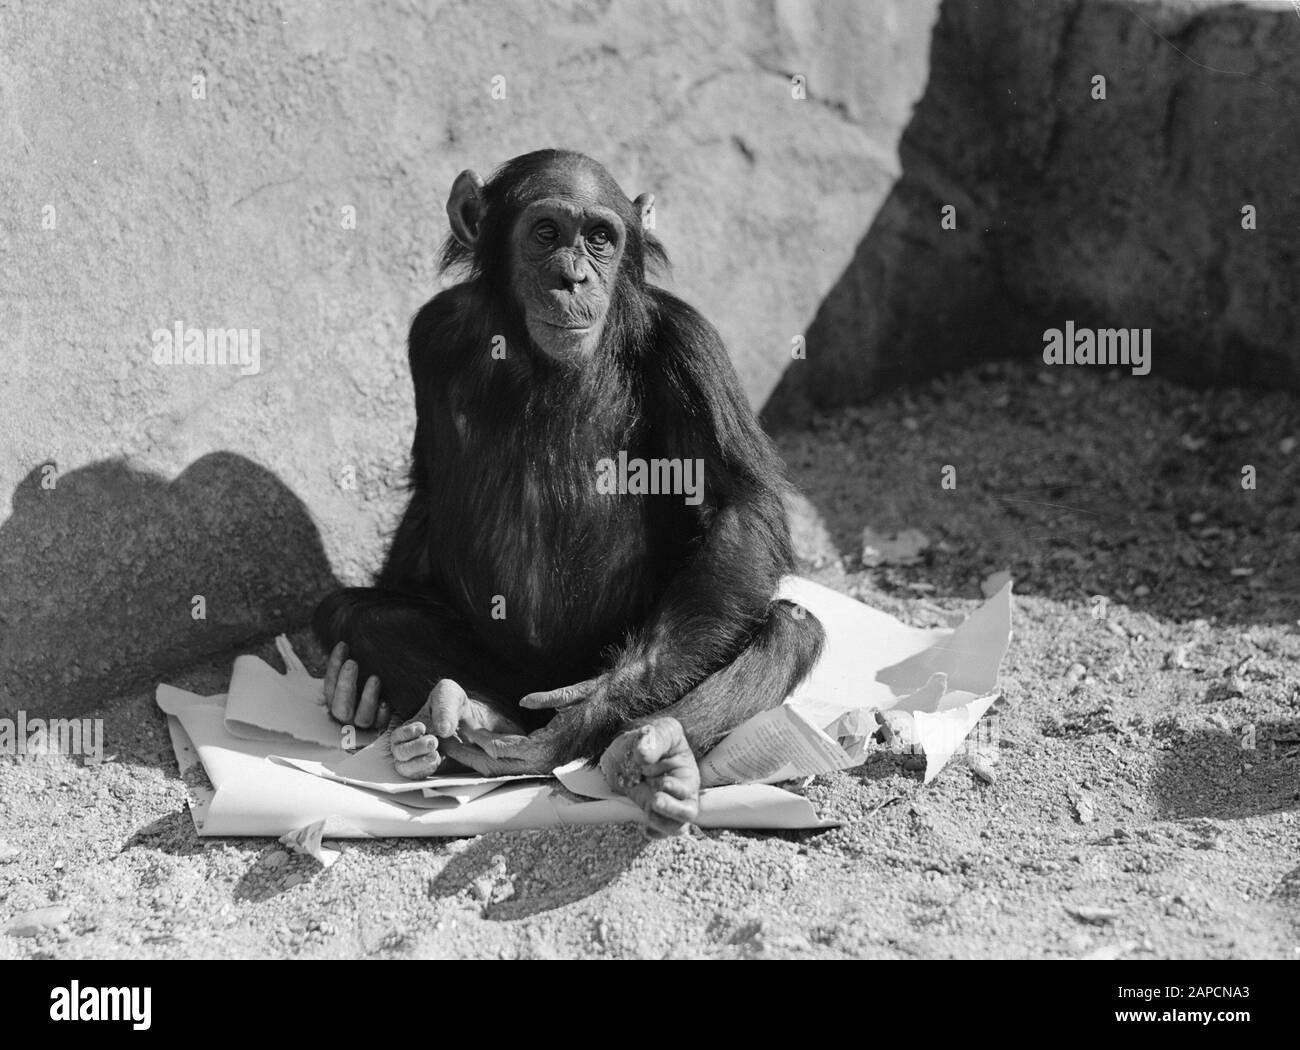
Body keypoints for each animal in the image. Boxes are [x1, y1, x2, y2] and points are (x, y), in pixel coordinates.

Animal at [314, 149, 821, 836]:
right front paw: (352, 687)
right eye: (547, 232)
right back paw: (461, 717)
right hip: (508, 675)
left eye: (601, 238)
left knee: (790, 629)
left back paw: (648, 756)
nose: (573, 277)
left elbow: (742, 508)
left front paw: (593, 710)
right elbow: (427, 489)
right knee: (357, 614)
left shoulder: (692, 345)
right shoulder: (432, 332)